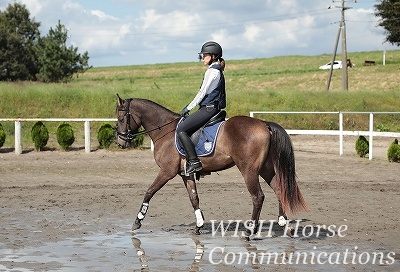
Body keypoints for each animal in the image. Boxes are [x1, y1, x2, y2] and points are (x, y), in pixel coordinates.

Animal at [114, 94, 308, 235]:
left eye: (121, 117)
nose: (120, 142)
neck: (165, 131)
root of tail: (264, 124)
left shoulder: (167, 172)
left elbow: (149, 192)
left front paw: (137, 221)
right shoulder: (185, 174)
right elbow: (194, 198)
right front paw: (199, 225)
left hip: (249, 170)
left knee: (258, 197)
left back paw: (249, 231)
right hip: (266, 169)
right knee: (279, 190)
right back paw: (285, 224)